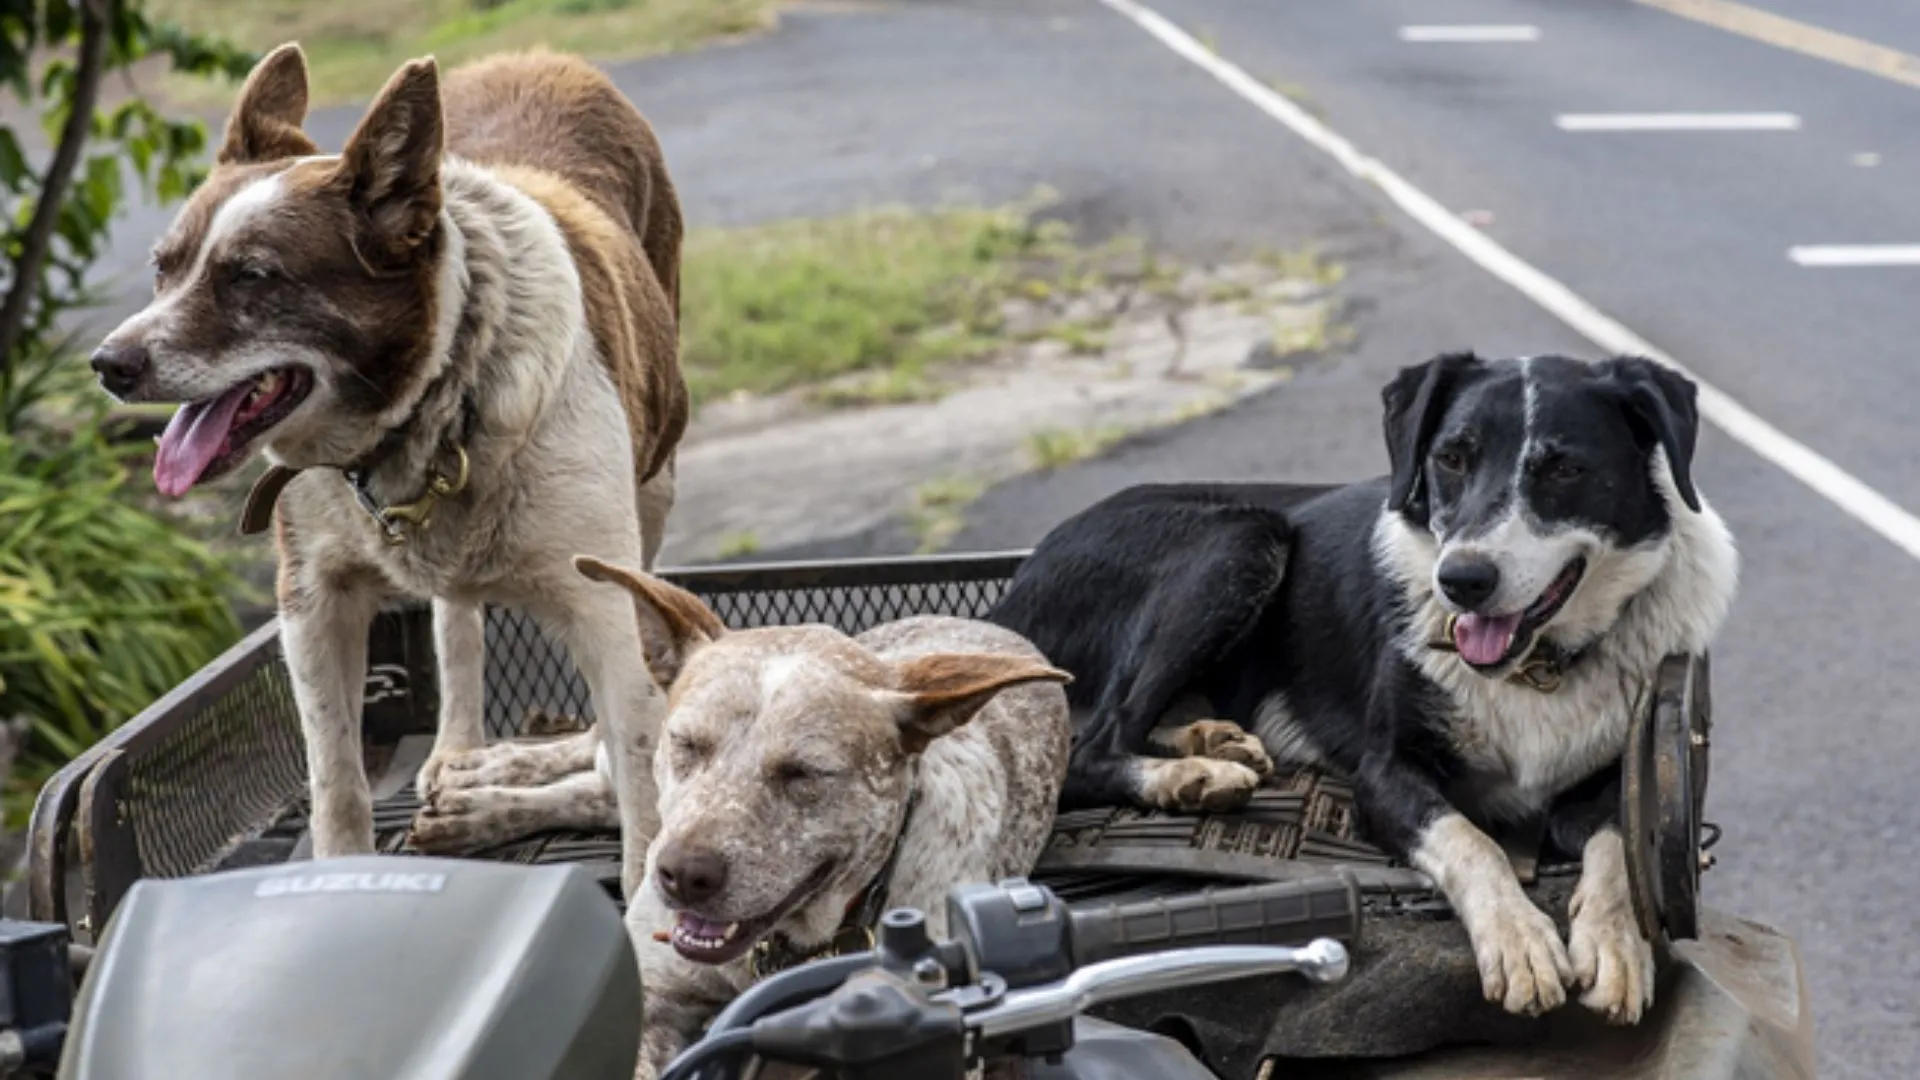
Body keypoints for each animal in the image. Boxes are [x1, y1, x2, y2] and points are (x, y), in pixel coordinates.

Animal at [91, 44, 691, 883]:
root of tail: (540, 55)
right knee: (456, 620)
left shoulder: (607, 608)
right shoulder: (313, 602)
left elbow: (642, 797)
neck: (430, 401)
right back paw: (462, 756)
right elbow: (336, 784)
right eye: (163, 268)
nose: (108, 365)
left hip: (657, 483)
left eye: (252, 276)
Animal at [990, 355, 1743, 1022]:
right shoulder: (1383, 775)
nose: (1460, 581)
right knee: (1089, 746)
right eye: (1451, 458)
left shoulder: (1620, 775)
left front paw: (1617, 945)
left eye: (1564, 468)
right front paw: (1520, 942)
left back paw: (1212, 741)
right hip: (1242, 536)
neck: (1538, 664)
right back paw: (1192, 777)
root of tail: (1010, 595)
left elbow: (1619, 843)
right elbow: (1473, 840)